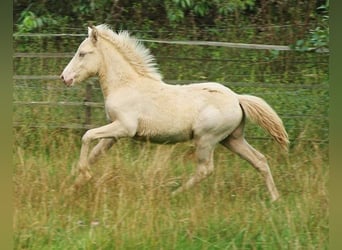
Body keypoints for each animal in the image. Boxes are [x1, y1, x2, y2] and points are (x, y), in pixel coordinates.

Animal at [60, 24, 288, 201]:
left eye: (82, 53)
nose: (64, 78)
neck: (126, 85)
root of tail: (237, 98)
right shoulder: (115, 133)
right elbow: (95, 153)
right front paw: (74, 185)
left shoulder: (125, 127)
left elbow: (86, 135)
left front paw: (84, 175)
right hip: (232, 139)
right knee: (260, 160)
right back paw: (275, 199)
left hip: (206, 139)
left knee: (205, 169)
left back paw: (173, 194)